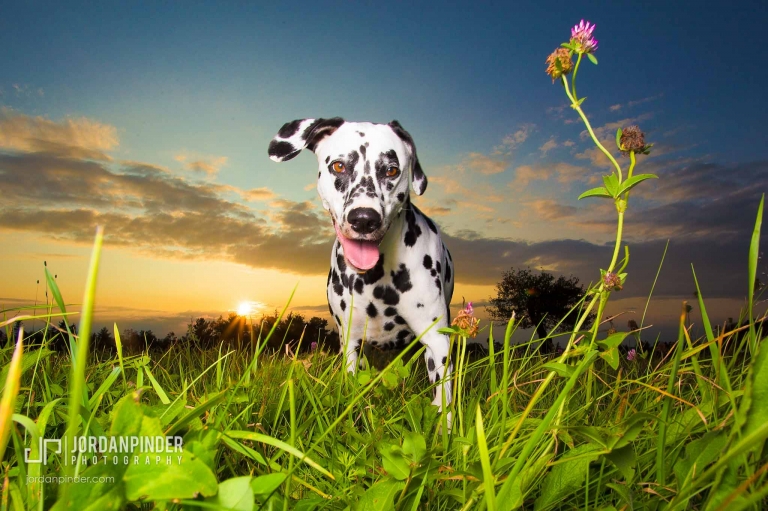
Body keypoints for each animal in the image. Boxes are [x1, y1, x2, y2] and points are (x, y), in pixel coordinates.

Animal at [268, 119, 452, 416]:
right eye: (339, 166)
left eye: (391, 170)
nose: (364, 219)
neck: (377, 277)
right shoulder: (350, 342)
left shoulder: (437, 340)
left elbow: (443, 399)